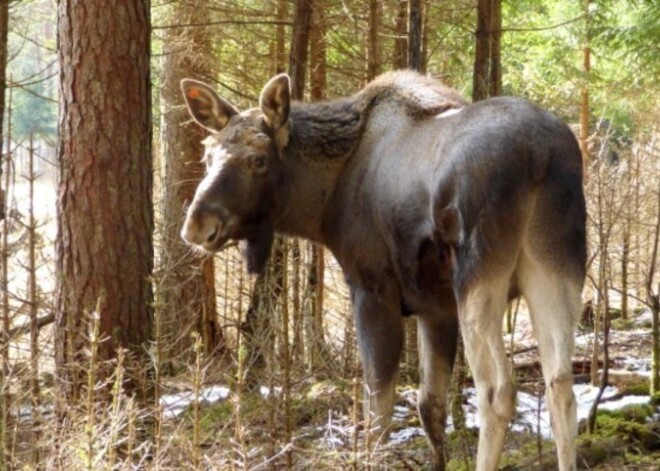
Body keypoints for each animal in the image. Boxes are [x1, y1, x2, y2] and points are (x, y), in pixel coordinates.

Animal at [178, 71, 584, 471]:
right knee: (561, 384)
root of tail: (540, 156)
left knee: (497, 391)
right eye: (206, 153)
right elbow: (429, 406)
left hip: (480, 276)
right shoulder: (436, 307)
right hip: (555, 268)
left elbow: (377, 414)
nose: (197, 225)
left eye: (259, 159)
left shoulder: (372, 292)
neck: (322, 204)